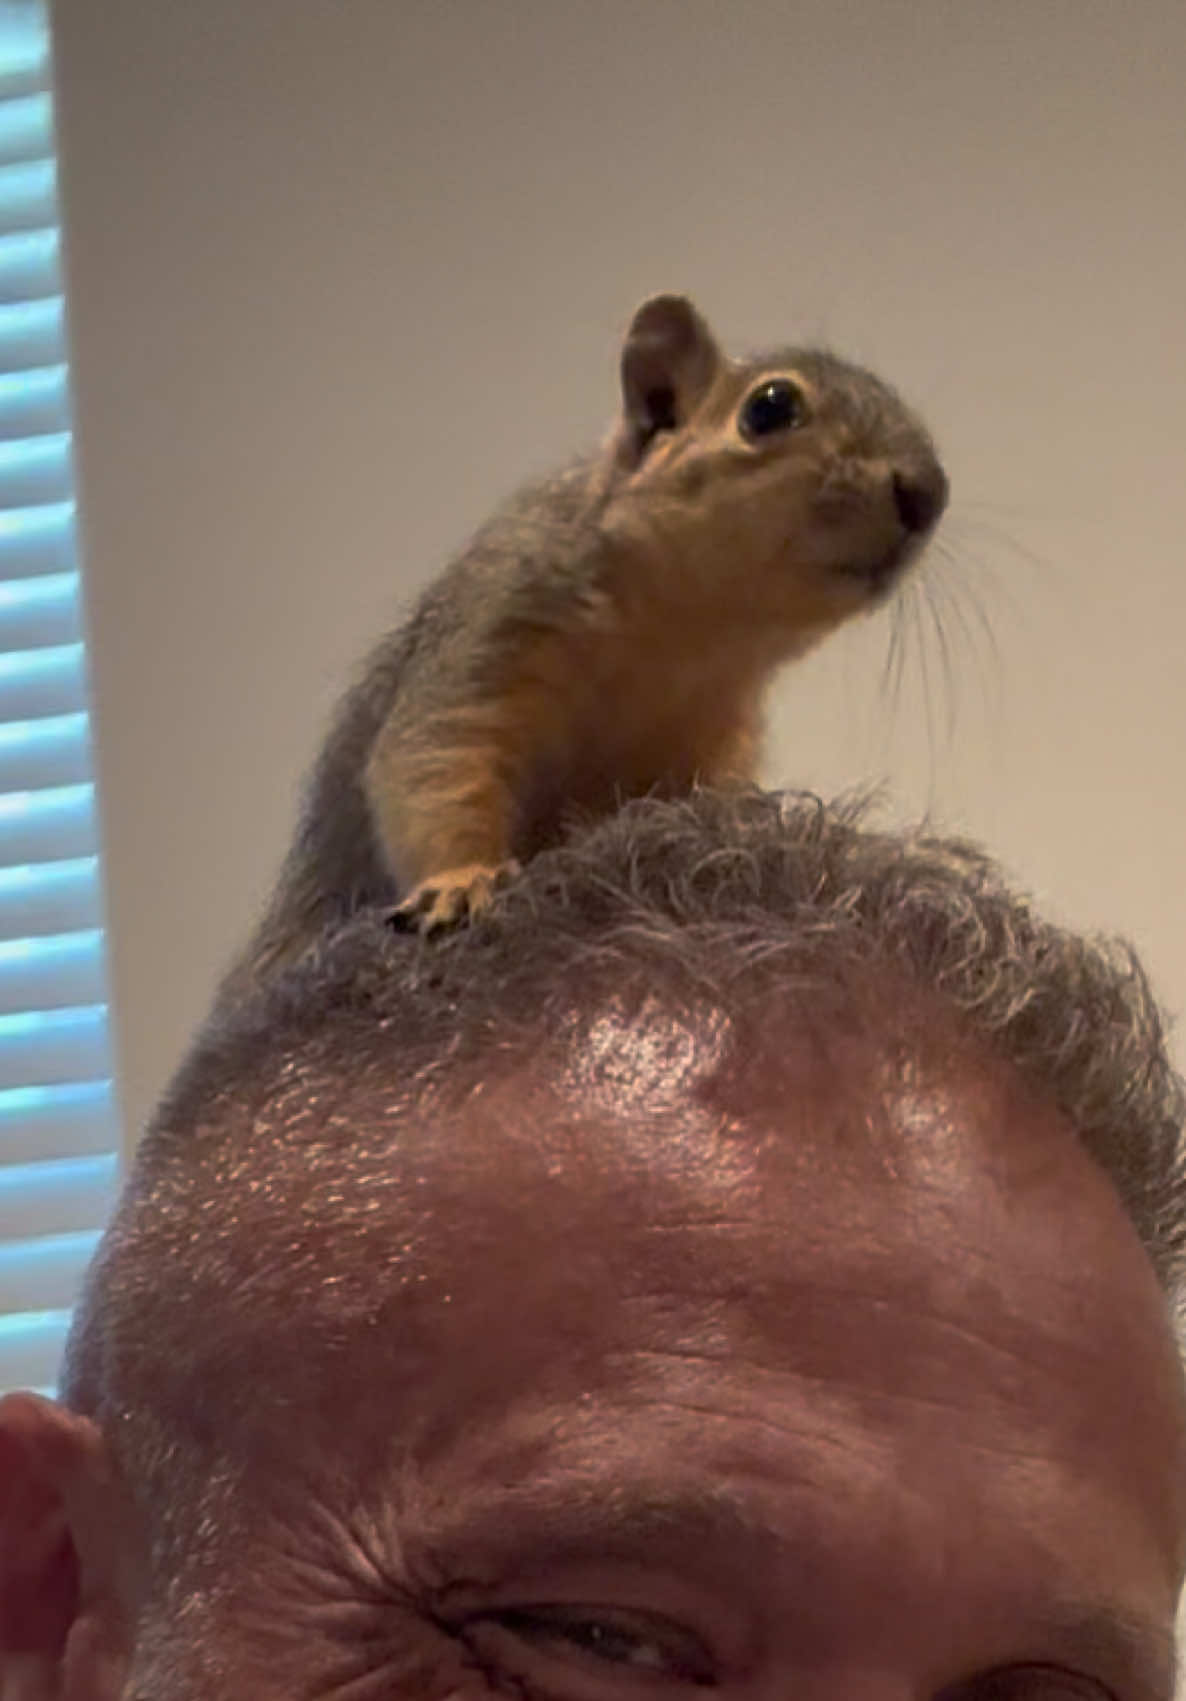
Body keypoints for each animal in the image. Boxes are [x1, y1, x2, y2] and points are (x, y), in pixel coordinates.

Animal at [218, 293, 948, 1000]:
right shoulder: (490, 634)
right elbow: (433, 759)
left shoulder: (717, 735)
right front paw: (459, 882)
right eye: (770, 408)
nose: (928, 493)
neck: (680, 637)